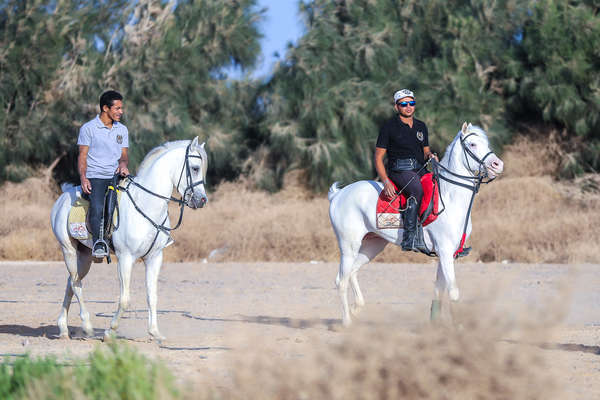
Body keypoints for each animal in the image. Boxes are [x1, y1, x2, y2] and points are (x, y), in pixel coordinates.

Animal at [50, 137, 209, 340]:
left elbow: (152, 295)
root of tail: (64, 195)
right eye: (195, 168)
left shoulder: (154, 258)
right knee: (76, 283)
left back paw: (63, 328)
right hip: (68, 250)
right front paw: (110, 331)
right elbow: (125, 299)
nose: (202, 200)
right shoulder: (126, 258)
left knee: (71, 282)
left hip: (85, 255)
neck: (146, 204)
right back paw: (87, 326)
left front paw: (155, 332)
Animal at [330, 122, 504, 324]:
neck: (450, 197)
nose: (498, 165)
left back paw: (356, 308)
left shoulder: (447, 254)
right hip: (348, 245)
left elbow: (439, 290)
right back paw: (346, 323)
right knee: (341, 281)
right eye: (473, 144)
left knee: (352, 272)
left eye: (486, 143)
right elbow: (453, 292)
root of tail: (338, 195)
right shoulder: (445, 251)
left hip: (373, 245)